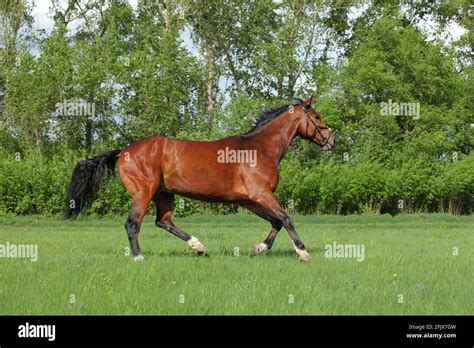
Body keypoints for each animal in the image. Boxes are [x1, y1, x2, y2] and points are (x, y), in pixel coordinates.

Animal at [65, 96, 336, 260]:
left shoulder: (250, 200)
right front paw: (302, 252)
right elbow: (286, 218)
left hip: (164, 194)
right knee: (133, 223)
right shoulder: (261, 194)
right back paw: (139, 257)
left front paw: (257, 248)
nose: (332, 141)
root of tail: (124, 151)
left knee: (164, 222)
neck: (260, 149)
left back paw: (199, 247)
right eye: (317, 117)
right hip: (144, 192)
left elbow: (276, 222)